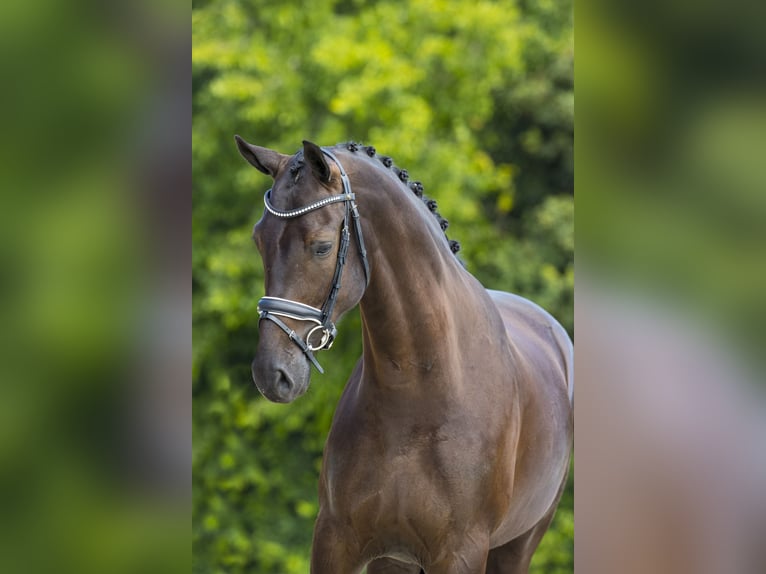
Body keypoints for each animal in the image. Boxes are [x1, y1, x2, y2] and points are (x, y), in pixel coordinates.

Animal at [235, 136, 573, 574]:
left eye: (322, 247)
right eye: (259, 239)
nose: (270, 373)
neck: (416, 387)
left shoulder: (461, 552)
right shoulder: (335, 540)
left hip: (517, 546)